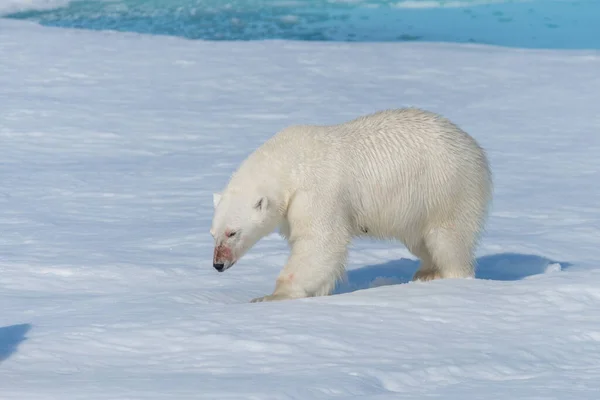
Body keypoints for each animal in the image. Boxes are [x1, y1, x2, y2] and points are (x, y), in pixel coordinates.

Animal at [211, 108, 492, 302]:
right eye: (213, 234)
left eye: (232, 232)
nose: (217, 265)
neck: (289, 162)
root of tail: (475, 148)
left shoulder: (316, 193)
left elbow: (320, 241)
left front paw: (271, 296)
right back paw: (426, 273)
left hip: (447, 187)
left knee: (447, 239)